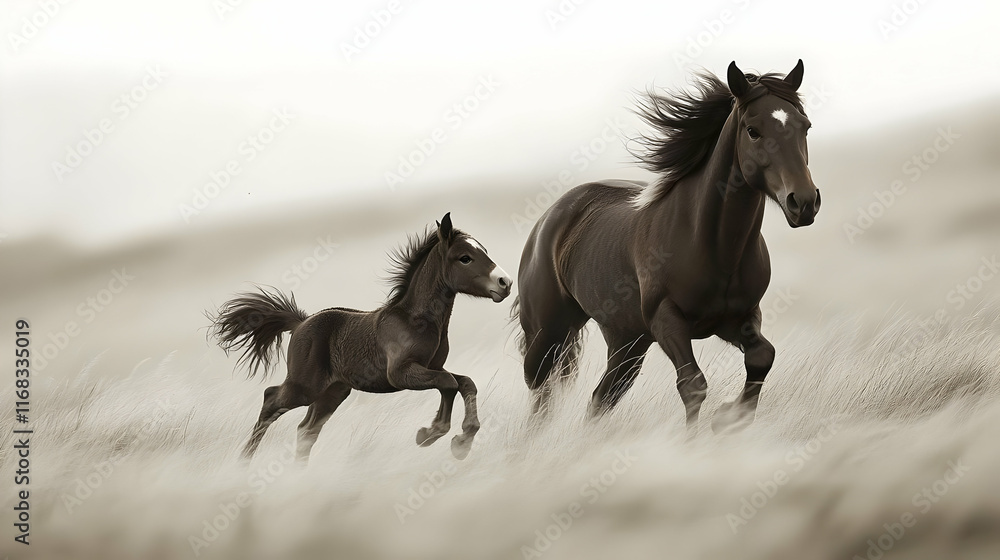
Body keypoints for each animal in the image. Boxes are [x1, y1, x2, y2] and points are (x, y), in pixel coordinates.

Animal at [208, 213, 512, 462]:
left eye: (484, 251)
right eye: (465, 258)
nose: (505, 283)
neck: (416, 319)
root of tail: (301, 322)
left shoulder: (433, 366)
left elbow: (464, 382)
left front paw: (462, 439)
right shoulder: (400, 374)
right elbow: (449, 383)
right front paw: (432, 434)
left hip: (333, 392)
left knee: (306, 430)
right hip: (305, 387)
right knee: (271, 399)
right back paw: (244, 462)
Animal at [514, 60, 820, 434]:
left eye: (805, 127)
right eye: (753, 130)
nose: (803, 203)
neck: (715, 247)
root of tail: (549, 219)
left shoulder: (739, 317)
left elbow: (762, 357)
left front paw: (729, 418)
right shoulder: (667, 320)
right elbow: (693, 385)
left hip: (627, 341)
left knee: (600, 399)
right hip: (549, 332)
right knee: (541, 392)